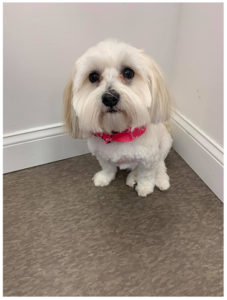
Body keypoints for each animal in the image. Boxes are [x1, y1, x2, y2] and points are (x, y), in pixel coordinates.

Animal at [63, 39, 172, 197]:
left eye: (128, 73)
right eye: (93, 77)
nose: (109, 98)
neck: (119, 134)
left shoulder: (149, 158)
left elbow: (146, 174)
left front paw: (145, 187)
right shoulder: (102, 154)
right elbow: (108, 167)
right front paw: (104, 178)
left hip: (165, 144)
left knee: (160, 164)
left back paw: (161, 180)